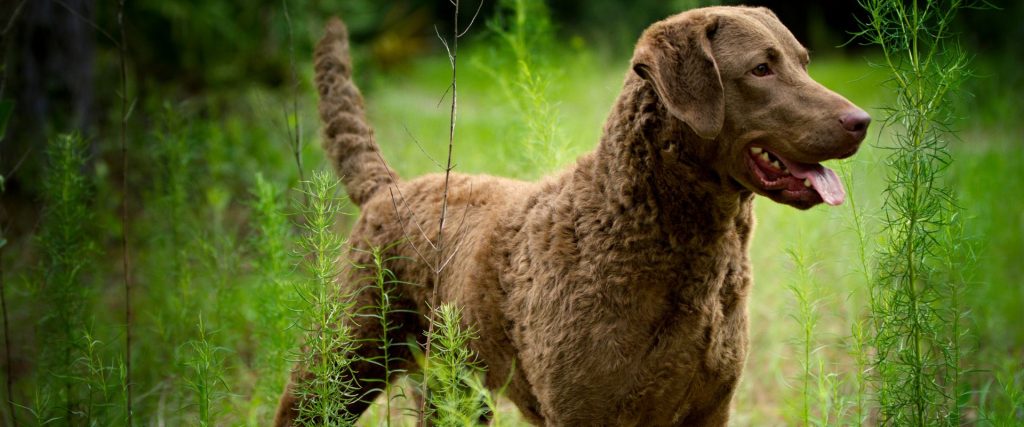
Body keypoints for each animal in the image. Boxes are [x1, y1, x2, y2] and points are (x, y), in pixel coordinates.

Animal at [276, 4, 868, 423]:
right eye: (761, 68)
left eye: (803, 61)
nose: (861, 120)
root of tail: (390, 189)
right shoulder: (583, 409)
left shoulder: (711, 407)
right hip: (343, 359)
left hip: (451, 387)